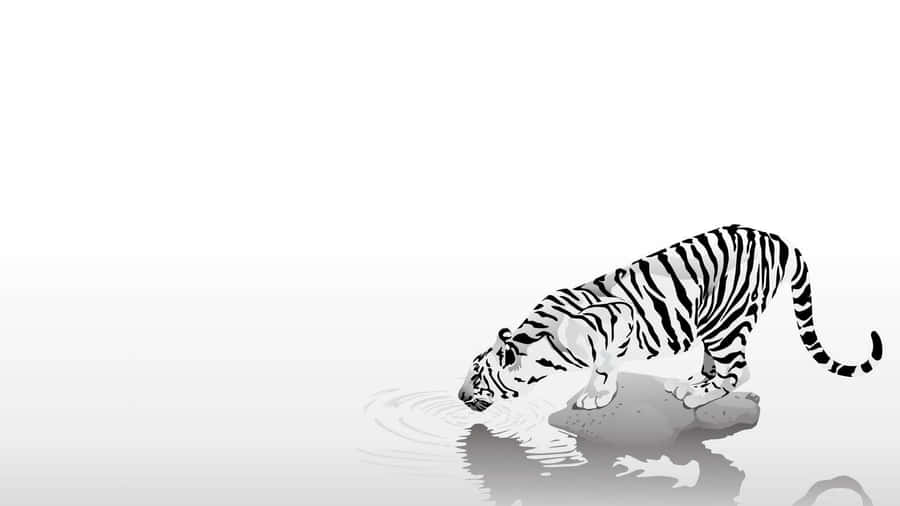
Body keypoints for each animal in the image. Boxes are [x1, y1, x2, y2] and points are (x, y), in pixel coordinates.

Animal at [458, 225, 883, 412]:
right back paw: (690, 382)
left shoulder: (619, 319)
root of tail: (775, 237)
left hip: (726, 323)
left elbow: (605, 366)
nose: (460, 396)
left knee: (739, 371)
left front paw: (597, 396)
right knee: (719, 364)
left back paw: (698, 396)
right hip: (714, 322)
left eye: (477, 376)